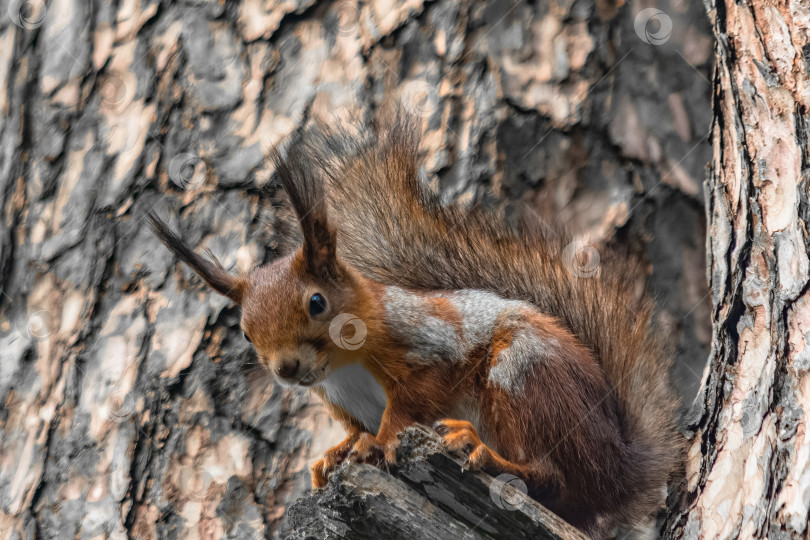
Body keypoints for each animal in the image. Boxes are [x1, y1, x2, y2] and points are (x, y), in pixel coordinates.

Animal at [147, 115, 680, 536]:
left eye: (317, 302)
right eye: (244, 332)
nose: (286, 369)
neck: (343, 368)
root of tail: (615, 470)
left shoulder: (427, 346)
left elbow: (411, 404)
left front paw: (379, 443)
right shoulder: (342, 401)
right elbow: (352, 431)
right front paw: (336, 454)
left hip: (526, 374)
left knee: (552, 480)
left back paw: (481, 449)